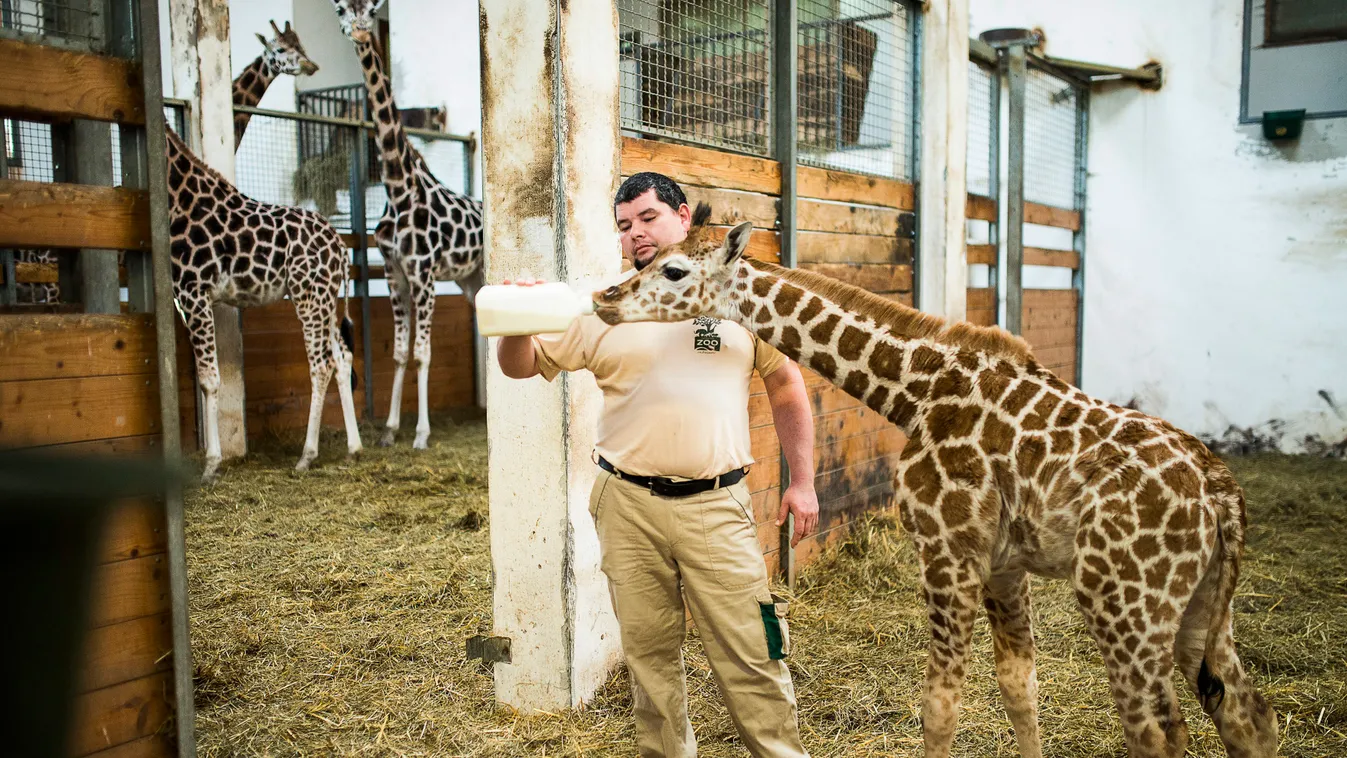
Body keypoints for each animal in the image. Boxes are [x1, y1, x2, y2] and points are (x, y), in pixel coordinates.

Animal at [331, 0, 484, 449]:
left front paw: (420, 433)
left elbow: (423, 353)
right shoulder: (394, 273)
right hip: (470, 279)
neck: (399, 190)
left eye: (370, 8)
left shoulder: (424, 274)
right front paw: (389, 430)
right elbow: (400, 352)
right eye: (342, 9)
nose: (360, 29)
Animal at [587, 205, 1271, 758]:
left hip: (1124, 601)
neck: (914, 391)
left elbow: (940, 706)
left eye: (675, 271)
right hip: (1202, 605)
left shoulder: (948, 549)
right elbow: (1020, 688)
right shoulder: (1003, 563)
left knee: (1158, 730)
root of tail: (1221, 494)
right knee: (1245, 711)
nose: (605, 298)